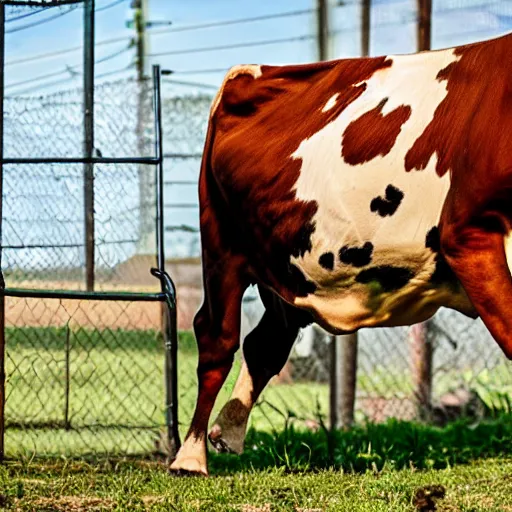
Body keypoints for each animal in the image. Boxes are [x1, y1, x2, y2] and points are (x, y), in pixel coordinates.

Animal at [170, 33, 512, 476]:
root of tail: (251, 73)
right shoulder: (470, 233)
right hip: (221, 246)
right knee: (216, 339)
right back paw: (191, 456)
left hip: (288, 269)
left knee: (265, 344)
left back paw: (225, 431)